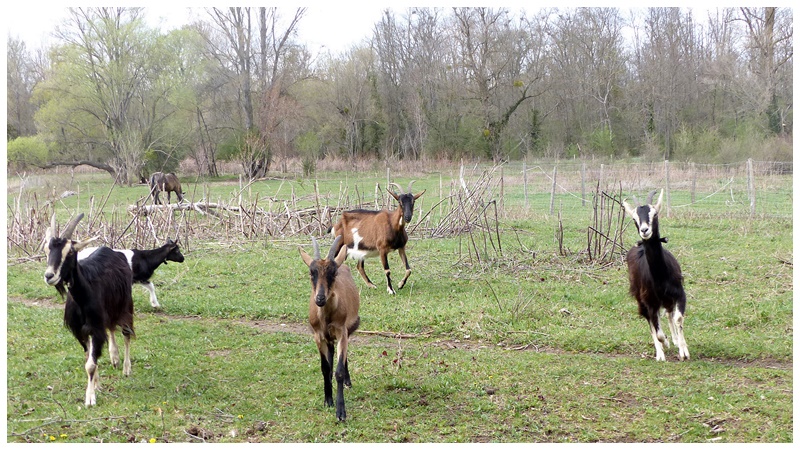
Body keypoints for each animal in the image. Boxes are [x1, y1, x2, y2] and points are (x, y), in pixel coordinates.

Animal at [43, 213, 134, 406]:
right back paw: (114, 357)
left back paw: (126, 368)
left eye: (70, 251)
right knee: (111, 328)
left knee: (126, 332)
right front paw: (96, 385)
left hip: (125, 304)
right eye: (47, 249)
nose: (49, 276)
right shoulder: (81, 330)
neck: (83, 297)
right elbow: (88, 358)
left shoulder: (95, 328)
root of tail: (112, 251)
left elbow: (90, 364)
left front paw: (90, 398)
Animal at [298, 236, 360, 422]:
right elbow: (325, 368)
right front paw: (328, 400)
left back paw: (348, 381)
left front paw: (341, 412)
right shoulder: (319, 336)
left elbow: (338, 370)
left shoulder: (341, 332)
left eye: (333, 273)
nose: (320, 298)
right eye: (312, 272)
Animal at [620, 190, 692, 362]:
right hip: (641, 299)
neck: (660, 276)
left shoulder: (679, 293)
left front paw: (683, 351)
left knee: (669, 313)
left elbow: (678, 318)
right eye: (635, 218)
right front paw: (665, 343)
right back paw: (660, 353)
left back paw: (674, 339)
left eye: (655, 214)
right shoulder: (649, 301)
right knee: (651, 322)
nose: (645, 230)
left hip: (666, 299)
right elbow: (657, 331)